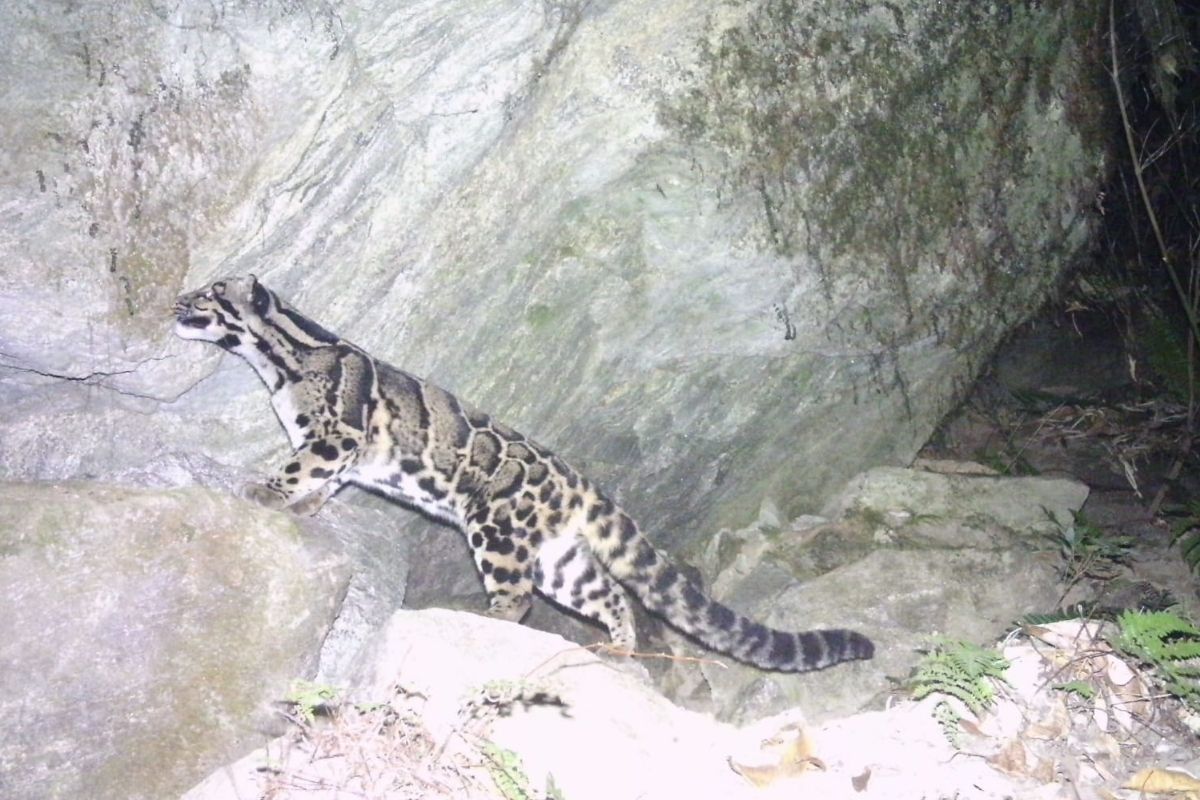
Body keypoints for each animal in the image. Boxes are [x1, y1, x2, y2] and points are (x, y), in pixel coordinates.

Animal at [173, 275, 874, 672]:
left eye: (208, 295)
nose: (175, 301)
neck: (280, 358)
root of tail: (579, 480)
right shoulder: (343, 452)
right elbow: (324, 482)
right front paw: (306, 507)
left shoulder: (337, 434)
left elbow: (300, 467)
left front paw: (267, 490)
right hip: (560, 559)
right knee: (611, 594)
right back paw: (617, 648)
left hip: (498, 530)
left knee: (516, 599)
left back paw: (483, 621)